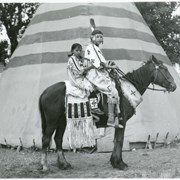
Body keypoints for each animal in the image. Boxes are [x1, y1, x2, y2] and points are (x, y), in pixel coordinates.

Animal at [39, 55, 176, 172]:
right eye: (164, 69)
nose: (174, 86)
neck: (126, 91)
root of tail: (44, 92)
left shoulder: (118, 123)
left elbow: (116, 140)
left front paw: (115, 162)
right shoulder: (122, 120)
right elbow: (120, 140)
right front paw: (120, 163)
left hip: (61, 120)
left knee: (57, 139)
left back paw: (64, 164)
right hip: (52, 121)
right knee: (46, 139)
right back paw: (45, 166)